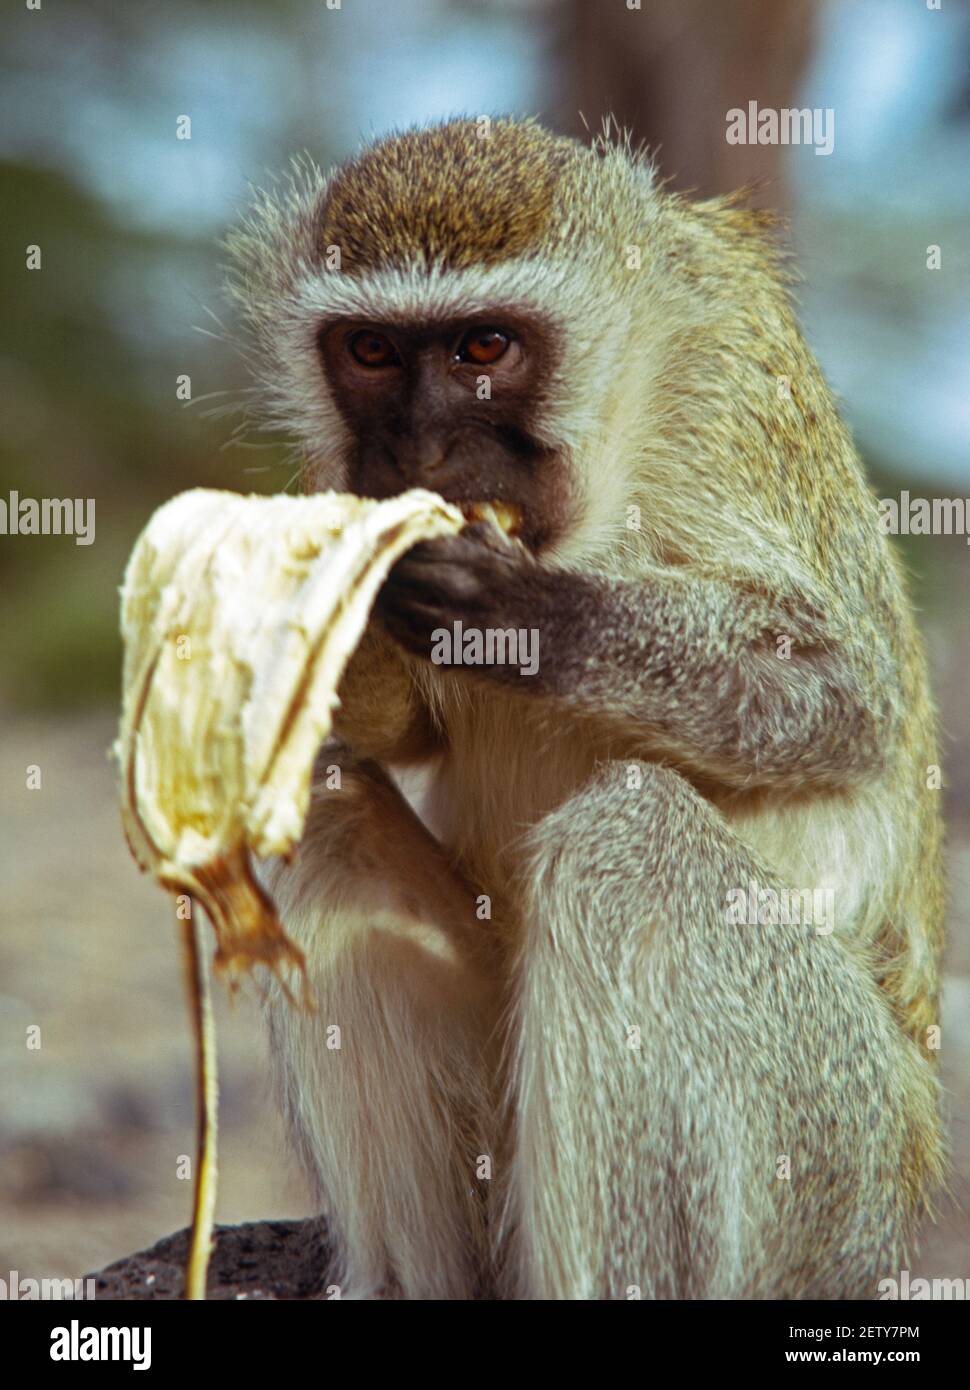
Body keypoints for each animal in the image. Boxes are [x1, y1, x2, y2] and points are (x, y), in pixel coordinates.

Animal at [225, 119, 939, 1301]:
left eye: (483, 349)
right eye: (371, 353)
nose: (420, 452)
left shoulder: (734, 384)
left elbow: (845, 695)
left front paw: (529, 613)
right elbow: (393, 732)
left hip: (839, 1165)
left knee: (634, 849)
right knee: (328, 810)